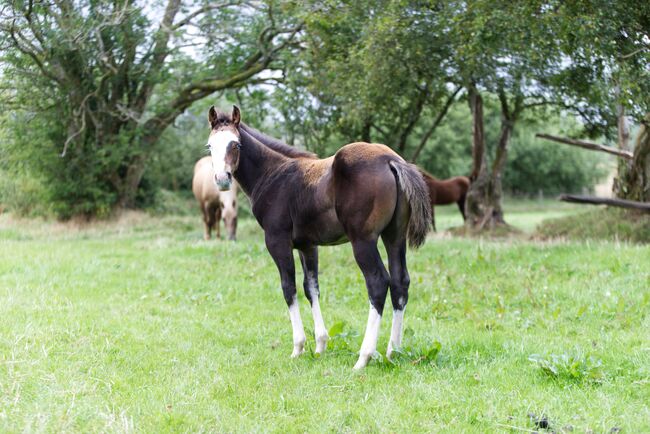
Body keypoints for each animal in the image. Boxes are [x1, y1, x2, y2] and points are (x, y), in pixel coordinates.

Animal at [205, 105, 432, 370]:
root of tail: (391, 160)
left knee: (377, 282)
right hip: (394, 236)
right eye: (210, 146)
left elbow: (288, 287)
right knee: (400, 281)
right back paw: (393, 352)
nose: (222, 179)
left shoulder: (277, 240)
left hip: (363, 240)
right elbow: (311, 287)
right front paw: (321, 345)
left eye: (236, 144)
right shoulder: (307, 245)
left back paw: (364, 357)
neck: (273, 175)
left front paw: (298, 347)